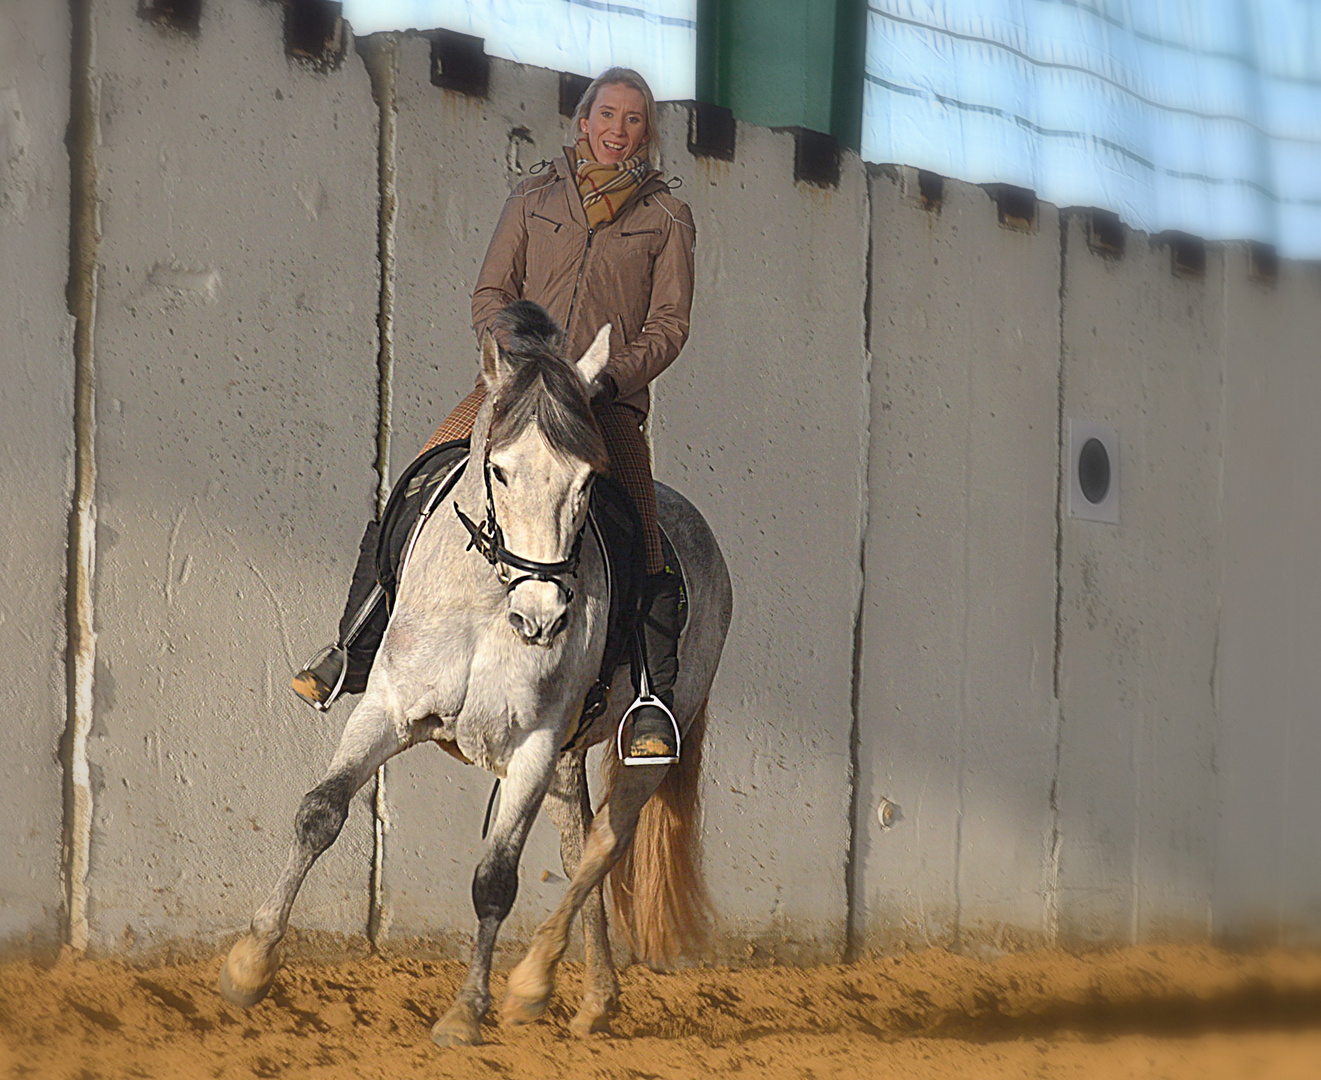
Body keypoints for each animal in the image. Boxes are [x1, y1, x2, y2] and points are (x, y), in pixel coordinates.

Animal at [217, 304, 734, 1045]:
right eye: (500, 471)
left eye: (586, 481)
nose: (542, 617)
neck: (486, 605)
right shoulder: (387, 709)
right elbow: (320, 812)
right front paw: (250, 965)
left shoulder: (531, 749)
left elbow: (495, 878)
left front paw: (466, 1012)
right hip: (569, 756)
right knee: (579, 845)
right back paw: (590, 997)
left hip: (644, 752)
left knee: (604, 845)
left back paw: (532, 983)